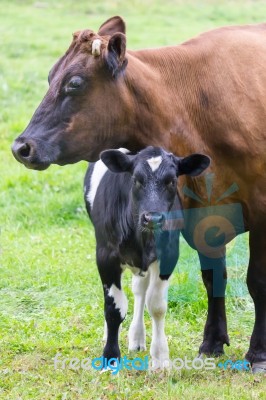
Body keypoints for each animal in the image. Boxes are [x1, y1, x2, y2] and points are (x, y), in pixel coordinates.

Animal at [84, 146, 211, 366]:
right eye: (136, 179)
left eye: (172, 180)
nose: (153, 217)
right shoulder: (105, 256)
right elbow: (114, 308)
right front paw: (110, 356)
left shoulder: (169, 255)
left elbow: (157, 306)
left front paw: (160, 358)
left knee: (140, 290)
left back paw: (137, 338)